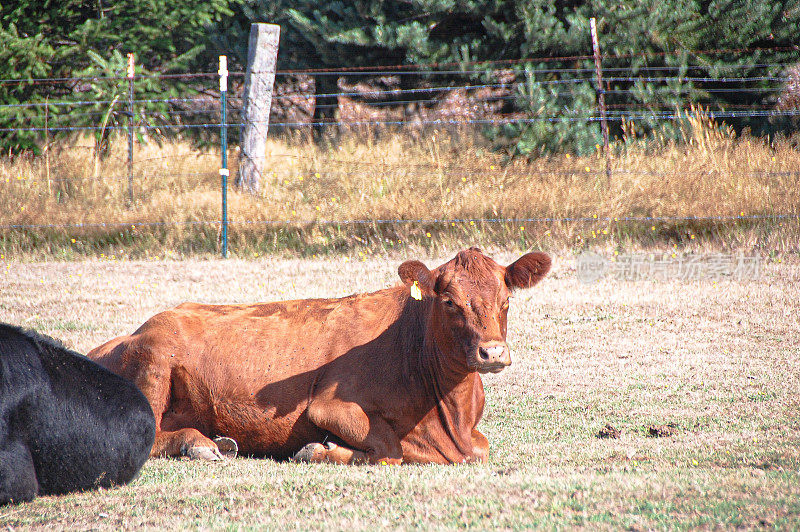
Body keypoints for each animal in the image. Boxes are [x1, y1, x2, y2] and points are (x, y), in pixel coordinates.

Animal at [89, 247, 552, 464]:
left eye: (507, 299)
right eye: (450, 302)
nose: (492, 352)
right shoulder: (327, 406)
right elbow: (389, 448)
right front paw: (321, 450)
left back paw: (217, 441)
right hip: (155, 357)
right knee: (145, 434)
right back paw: (198, 444)